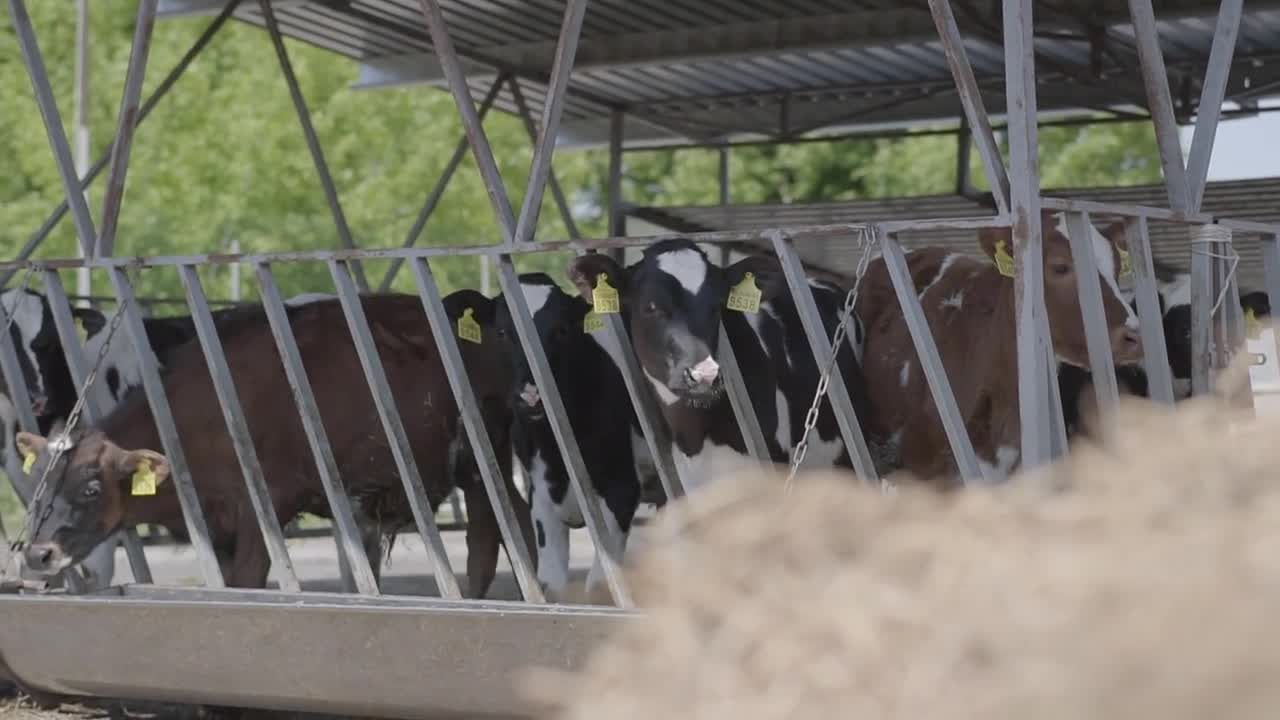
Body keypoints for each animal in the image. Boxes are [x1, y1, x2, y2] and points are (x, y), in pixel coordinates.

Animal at [11, 288, 529, 597]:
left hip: (482, 459)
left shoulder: (265, 509)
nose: (38, 553)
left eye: (91, 488)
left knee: (491, 534)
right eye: (41, 485)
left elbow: (249, 581)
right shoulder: (218, 525)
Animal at [491, 271, 660, 597]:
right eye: (503, 332)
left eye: (561, 330)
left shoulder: (621, 488)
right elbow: (550, 585)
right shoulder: (539, 495)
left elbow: (600, 587)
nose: (531, 395)